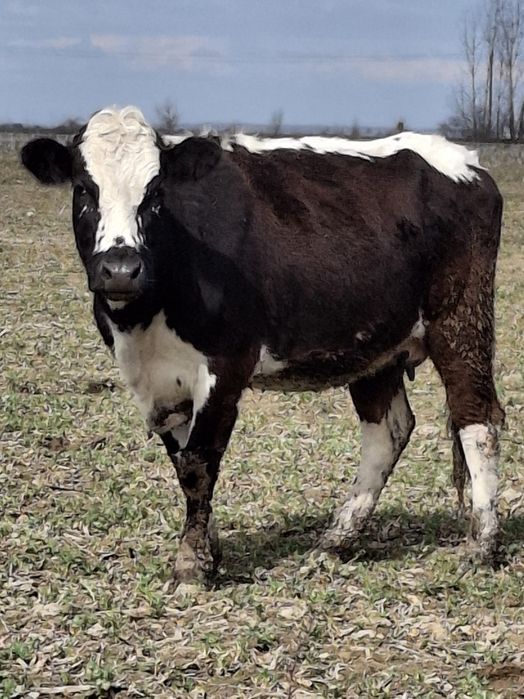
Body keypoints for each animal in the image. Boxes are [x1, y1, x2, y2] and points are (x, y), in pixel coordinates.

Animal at [21, 107, 504, 583]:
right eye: (83, 189)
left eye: (155, 194)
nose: (121, 269)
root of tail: (470, 164)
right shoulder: (158, 381)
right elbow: (183, 462)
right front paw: (208, 550)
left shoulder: (226, 364)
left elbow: (199, 461)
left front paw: (190, 564)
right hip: (375, 346)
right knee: (387, 431)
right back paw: (334, 541)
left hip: (461, 322)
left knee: (475, 418)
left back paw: (482, 543)